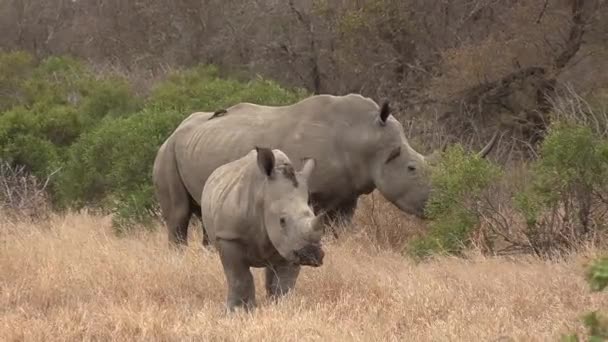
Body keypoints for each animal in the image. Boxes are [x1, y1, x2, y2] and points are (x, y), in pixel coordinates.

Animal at [201, 146, 326, 312]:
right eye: (282, 221)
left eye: (314, 214)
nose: (311, 254)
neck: (263, 193)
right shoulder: (228, 236)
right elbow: (239, 278)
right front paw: (237, 311)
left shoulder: (290, 244)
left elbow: (285, 280)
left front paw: (282, 306)